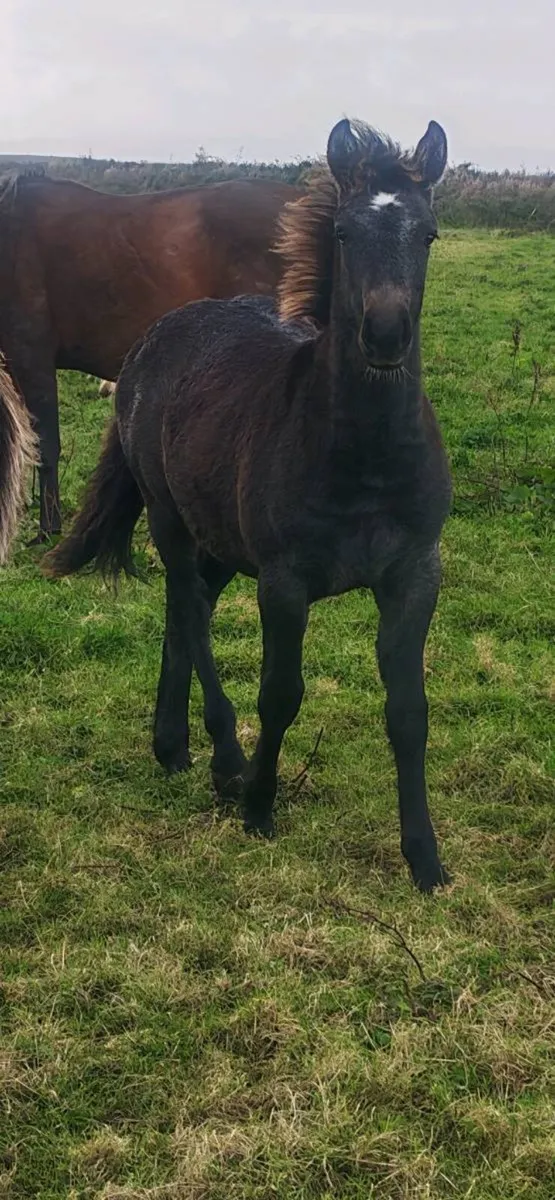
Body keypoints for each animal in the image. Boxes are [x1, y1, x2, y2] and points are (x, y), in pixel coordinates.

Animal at [44, 117, 452, 892]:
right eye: (344, 232)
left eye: (428, 233)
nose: (385, 334)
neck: (364, 457)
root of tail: (153, 339)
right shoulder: (284, 582)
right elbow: (280, 692)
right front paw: (259, 804)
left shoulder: (414, 574)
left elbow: (410, 711)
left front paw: (425, 856)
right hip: (172, 520)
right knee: (189, 610)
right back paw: (225, 760)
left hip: (221, 542)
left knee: (188, 609)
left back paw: (171, 744)